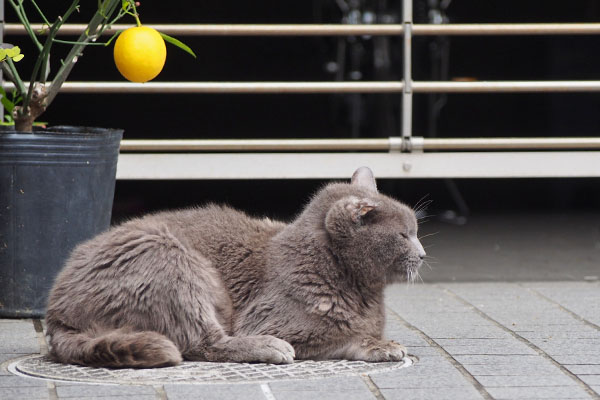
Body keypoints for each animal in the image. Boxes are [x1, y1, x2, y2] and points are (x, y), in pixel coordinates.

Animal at [44, 166, 424, 368]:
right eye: (404, 235)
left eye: (415, 232)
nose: (422, 254)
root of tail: (55, 311)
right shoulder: (277, 321)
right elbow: (340, 335)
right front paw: (380, 345)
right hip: (171, 259)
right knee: (201, 342)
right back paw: (269, 347)